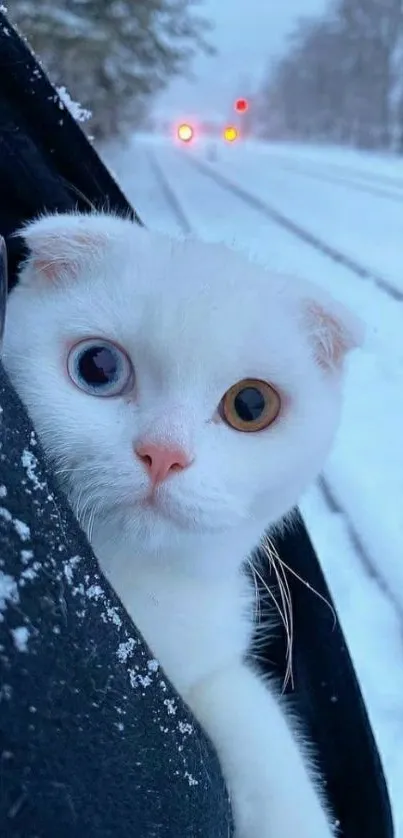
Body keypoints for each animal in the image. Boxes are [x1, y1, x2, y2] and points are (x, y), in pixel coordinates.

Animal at [1, 212, 364, 838]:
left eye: (251, 405)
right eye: (97, 366)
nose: (163, 453)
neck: (138, 588)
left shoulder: (207, 660)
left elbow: (249, 709)